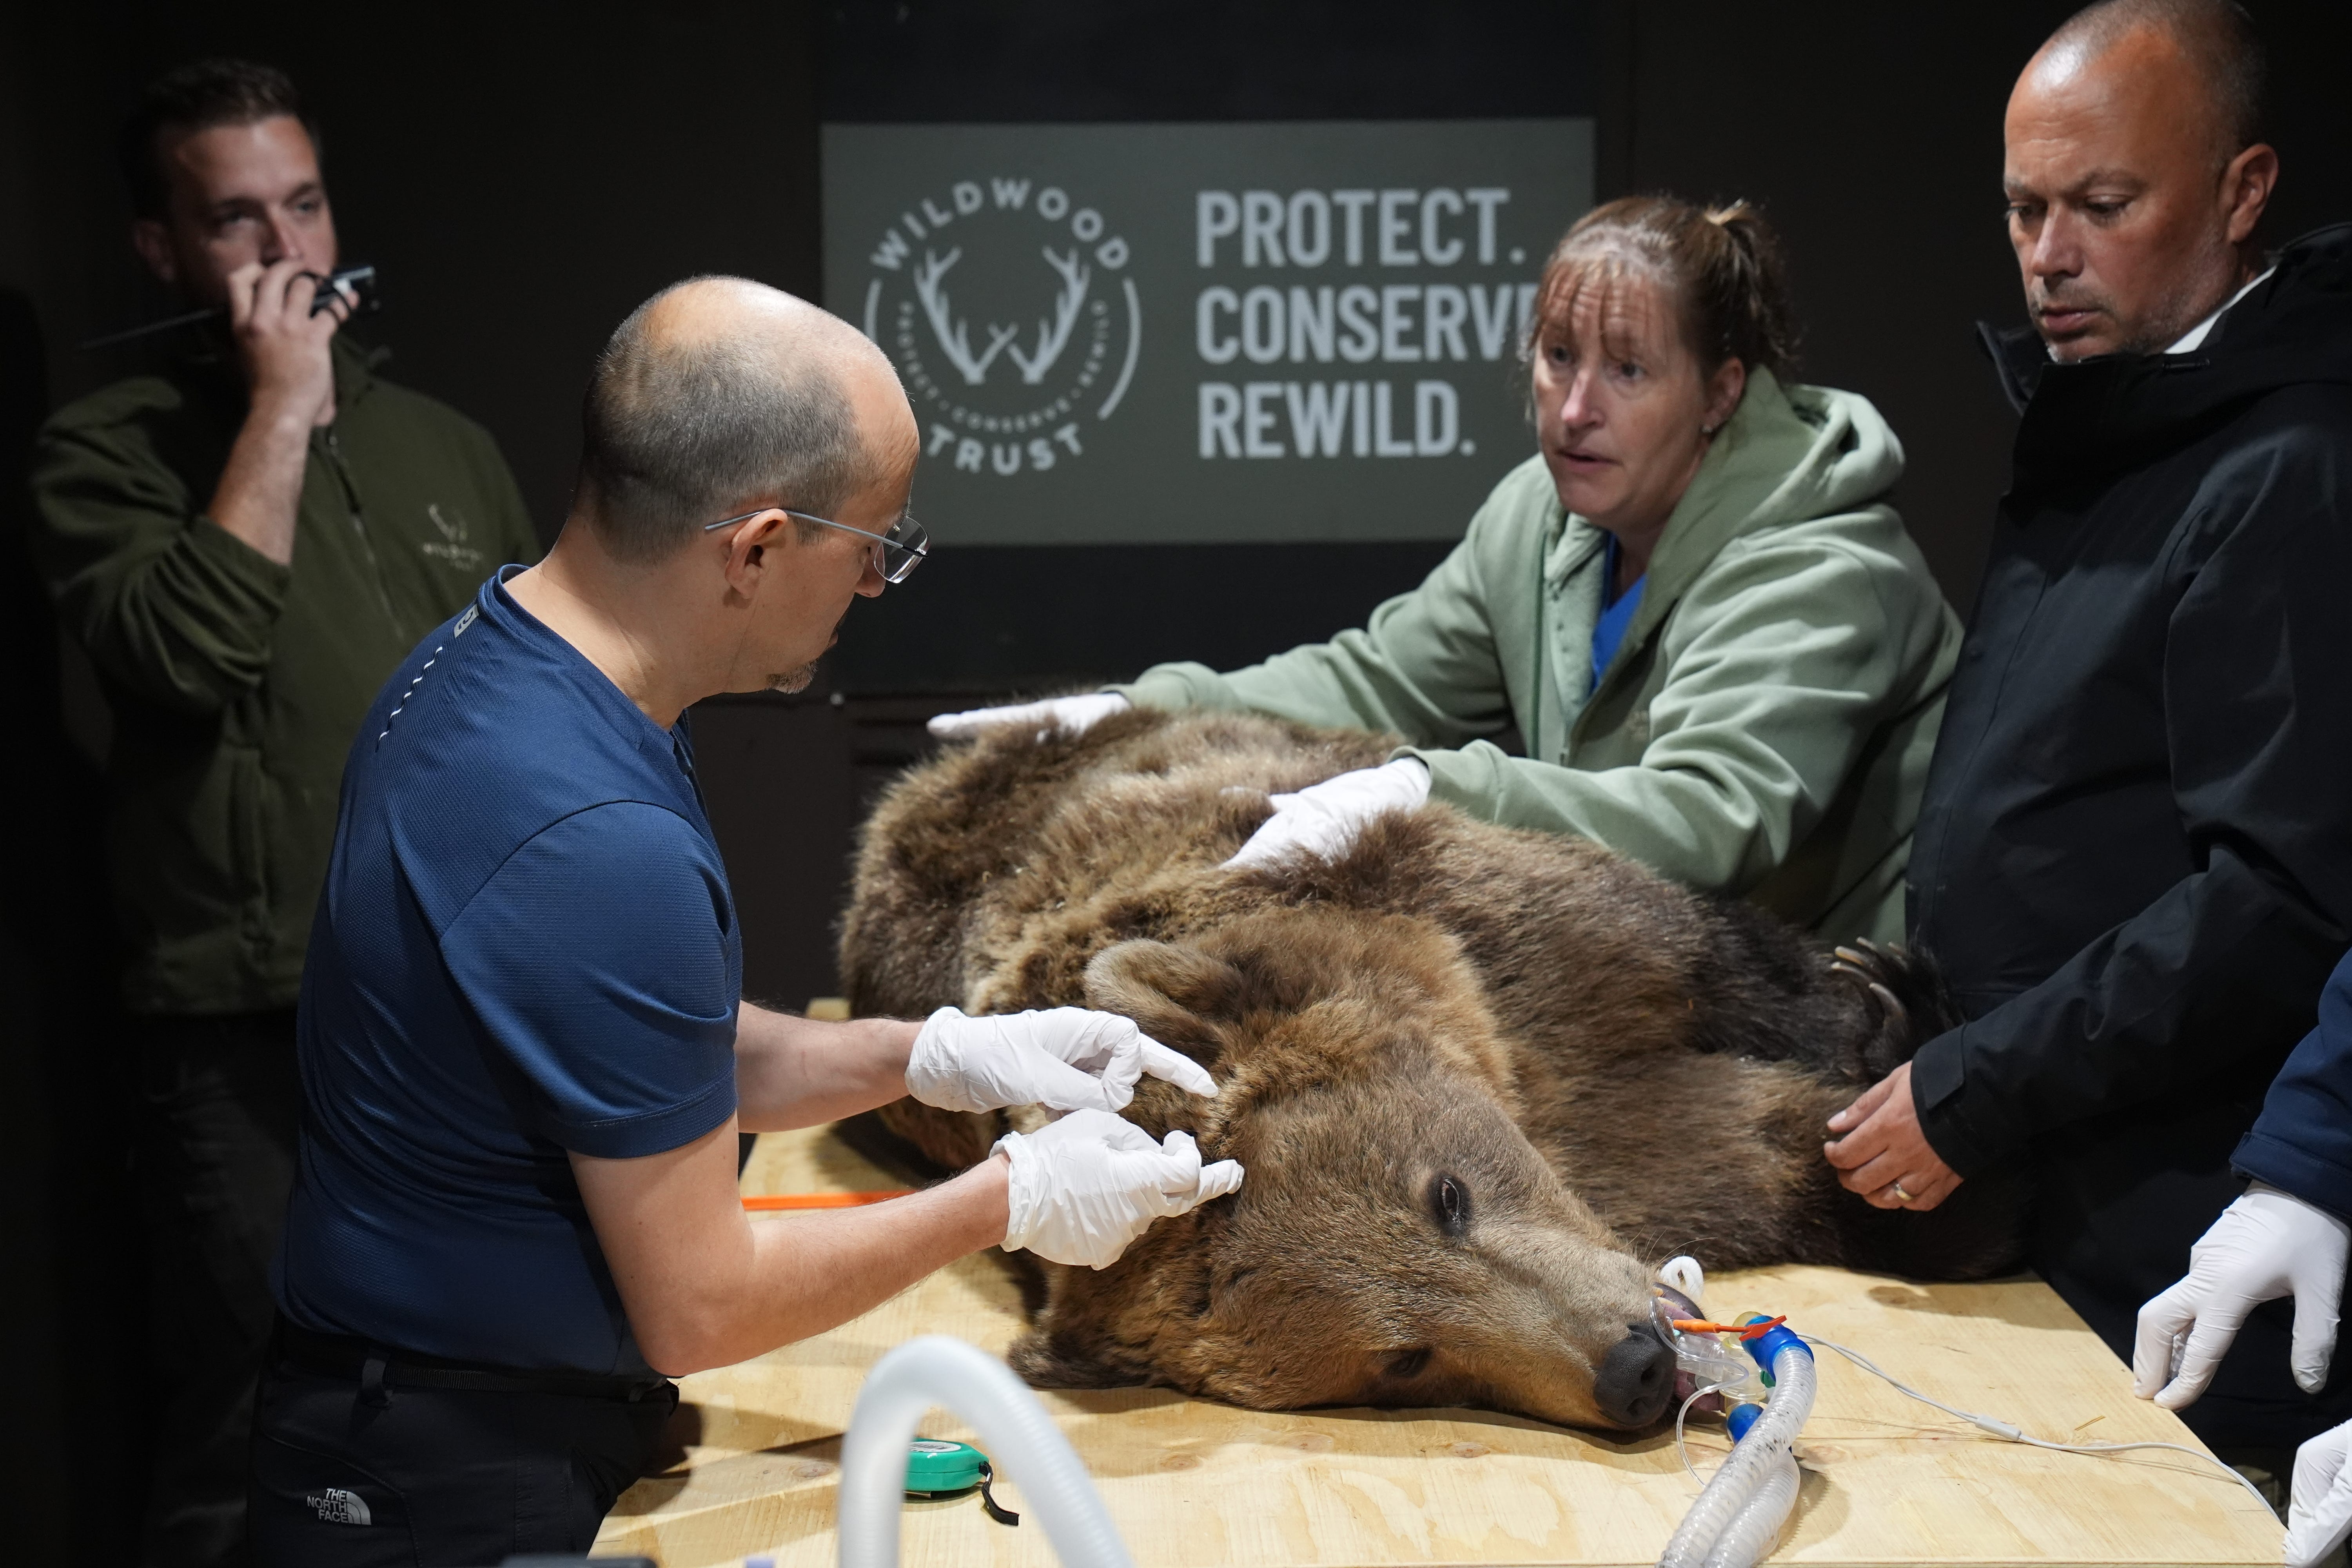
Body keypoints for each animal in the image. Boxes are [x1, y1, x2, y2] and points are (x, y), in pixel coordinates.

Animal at [837, 710, 2013, 1439]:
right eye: (1402, 1359)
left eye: (1446, 1194)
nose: (1634, 1367)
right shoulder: (1632, 1150)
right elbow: (1762, 1155)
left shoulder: (1518, 944)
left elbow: (1724, 979)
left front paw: (1894, 1038)